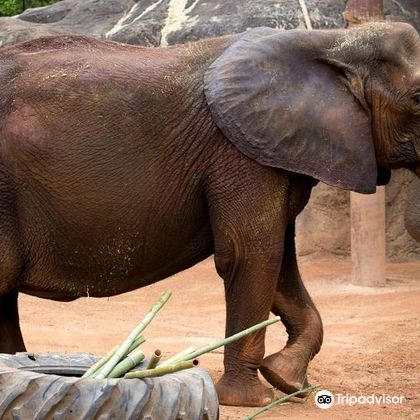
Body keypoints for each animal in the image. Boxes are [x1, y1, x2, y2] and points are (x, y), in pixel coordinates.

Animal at [0, 20, 420, 406]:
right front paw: (251, 401)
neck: (334, 39)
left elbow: (279, 264)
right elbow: (251, 256)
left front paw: (288, 382)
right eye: (417, 98)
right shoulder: (240, 155)